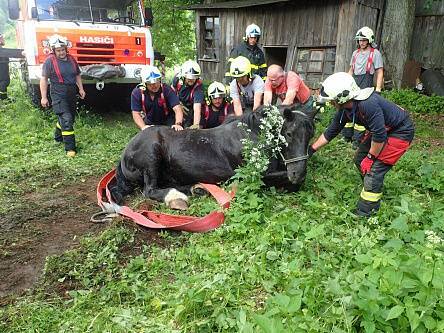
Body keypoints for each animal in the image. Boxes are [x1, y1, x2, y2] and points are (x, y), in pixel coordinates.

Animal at [112, 104, 318, 208]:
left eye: (311, 134)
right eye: (289, 133)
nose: (297, 173)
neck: (254, 134)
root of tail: (124, 155)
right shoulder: (252, 175)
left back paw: (197, 189)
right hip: (151, 157)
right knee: (150, 190)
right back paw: (177, 198)